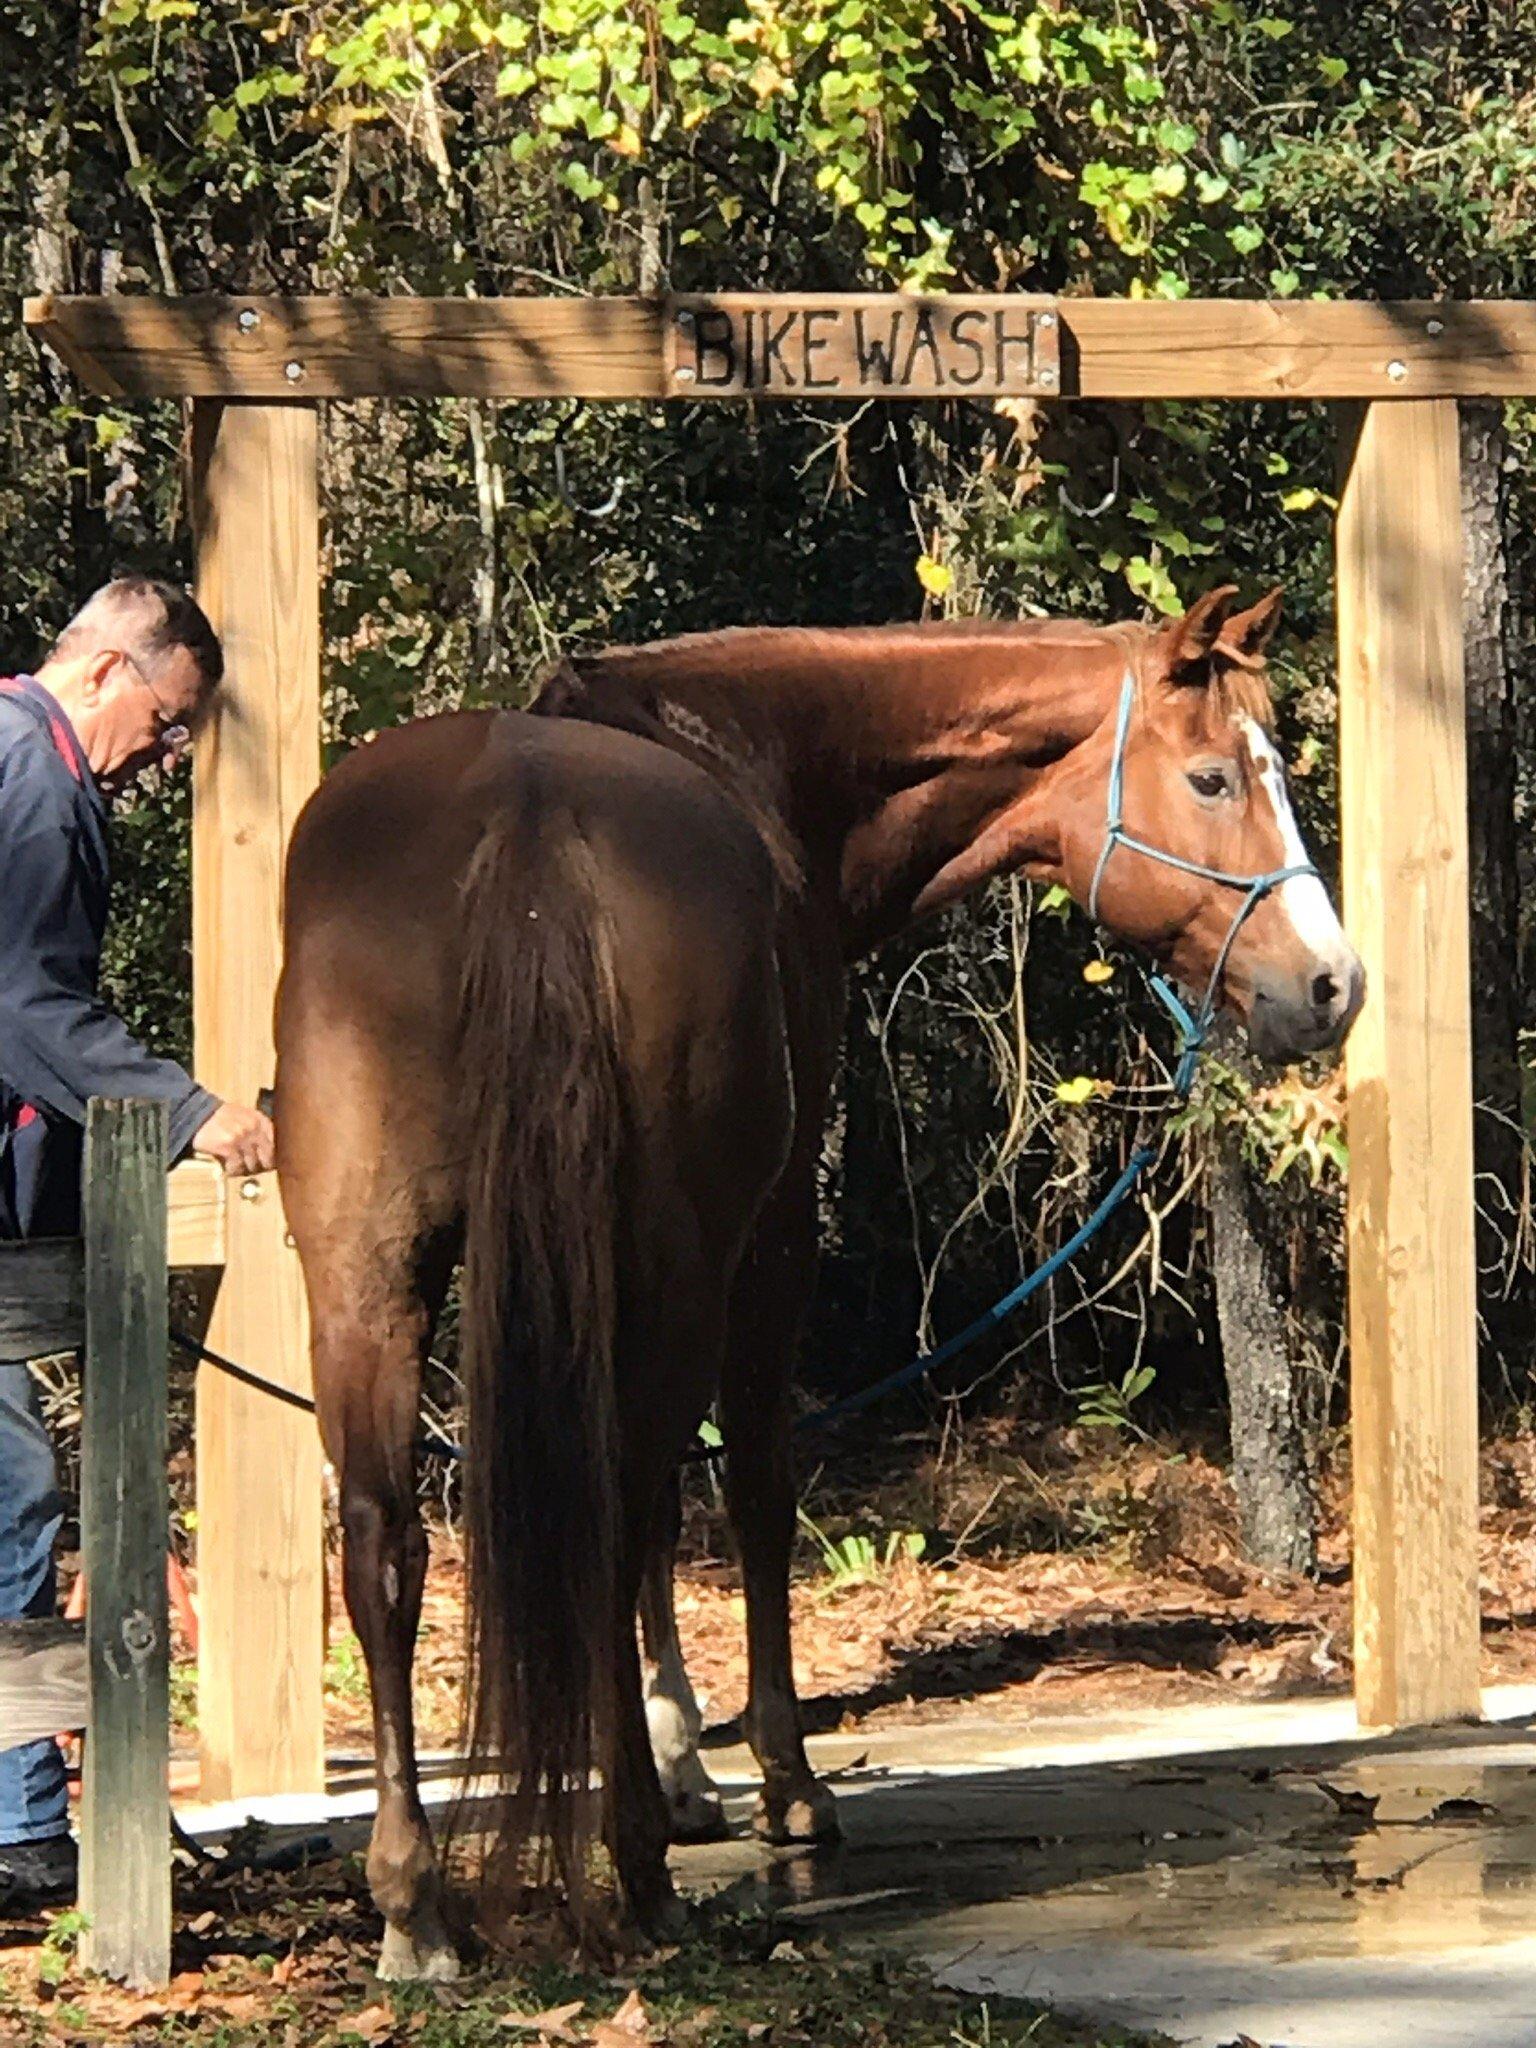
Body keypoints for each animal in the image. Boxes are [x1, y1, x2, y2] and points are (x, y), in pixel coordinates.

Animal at [274, 581, 1359, 1982]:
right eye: (1217, 775)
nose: (1331, 984)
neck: (754, 757)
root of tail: (522, 818)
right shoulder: (771, 1236)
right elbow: (747, 1492)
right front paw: (774, 1778)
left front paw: (684, 1756)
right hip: (670, 1259)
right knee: (619, 1505)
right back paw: (631, 1865)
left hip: (368, 1279)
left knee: (387, 1544)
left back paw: (415, 1900)